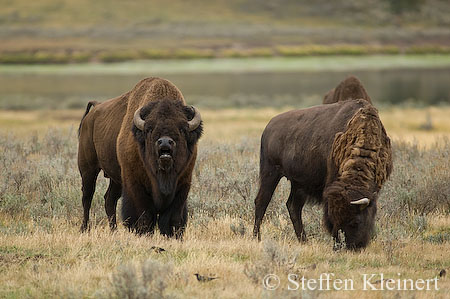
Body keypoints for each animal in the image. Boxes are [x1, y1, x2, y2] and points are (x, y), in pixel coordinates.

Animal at [78, 78, 202, 239]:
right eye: (149, 129)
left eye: (182, 129)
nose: (165, 142)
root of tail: (93, 112)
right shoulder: (135, 183)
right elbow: (144, 214)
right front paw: (143, 233)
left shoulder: (183, 184)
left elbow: (174, 216)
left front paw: (173, 236)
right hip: (88, 169)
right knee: (87, 197)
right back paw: (84, 229)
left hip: (116, 179)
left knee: (109, 200)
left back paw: (114, 231)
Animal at [253, 99, 390, 250]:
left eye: (356, 221)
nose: (350, 247)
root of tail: (268, 127)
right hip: (270, 172)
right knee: (262, 201)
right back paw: (256, 238)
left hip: (298, 184)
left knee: (293, 206)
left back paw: (304, 241)